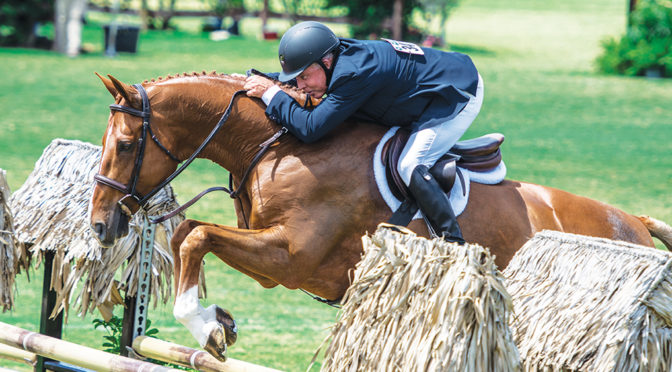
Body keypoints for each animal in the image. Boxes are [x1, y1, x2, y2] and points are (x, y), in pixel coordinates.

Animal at [89, 71, 672, 362]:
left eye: (125, 145)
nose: (100, 226)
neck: (283, 142)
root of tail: (635, 222)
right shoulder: (272, 258)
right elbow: (190, 232)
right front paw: (220, 321)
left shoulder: (291, 257)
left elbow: (196, 237)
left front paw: (207, 326)